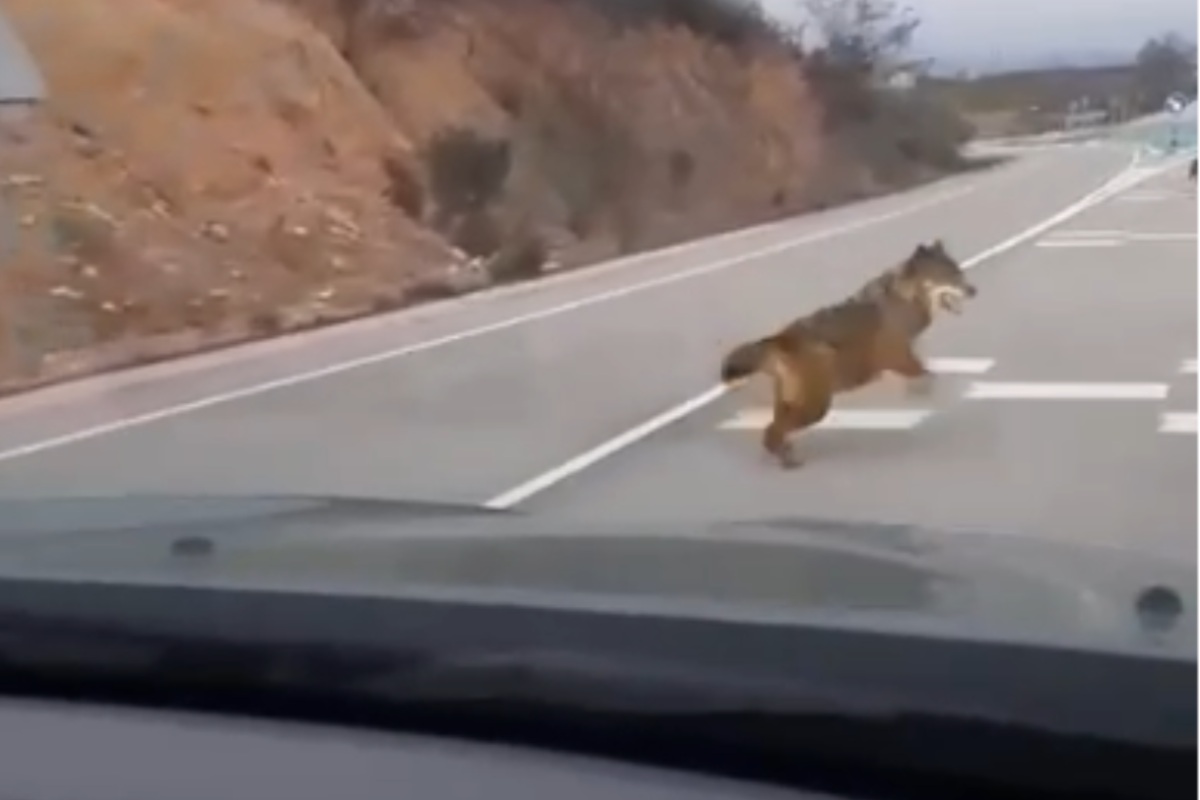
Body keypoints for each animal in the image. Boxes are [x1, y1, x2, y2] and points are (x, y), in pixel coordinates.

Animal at [720, 240, 977, 469]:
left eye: (959, 272)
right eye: (949, 276)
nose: (974, 291)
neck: (904, 298)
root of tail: (778, 338)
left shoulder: (905, 357)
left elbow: (924, 373)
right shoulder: (897, 358)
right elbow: (927, 375)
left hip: (795, 404)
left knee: (771, 433)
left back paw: (786, 455)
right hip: (816, 408)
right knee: (773, 433)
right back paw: (789, 461)